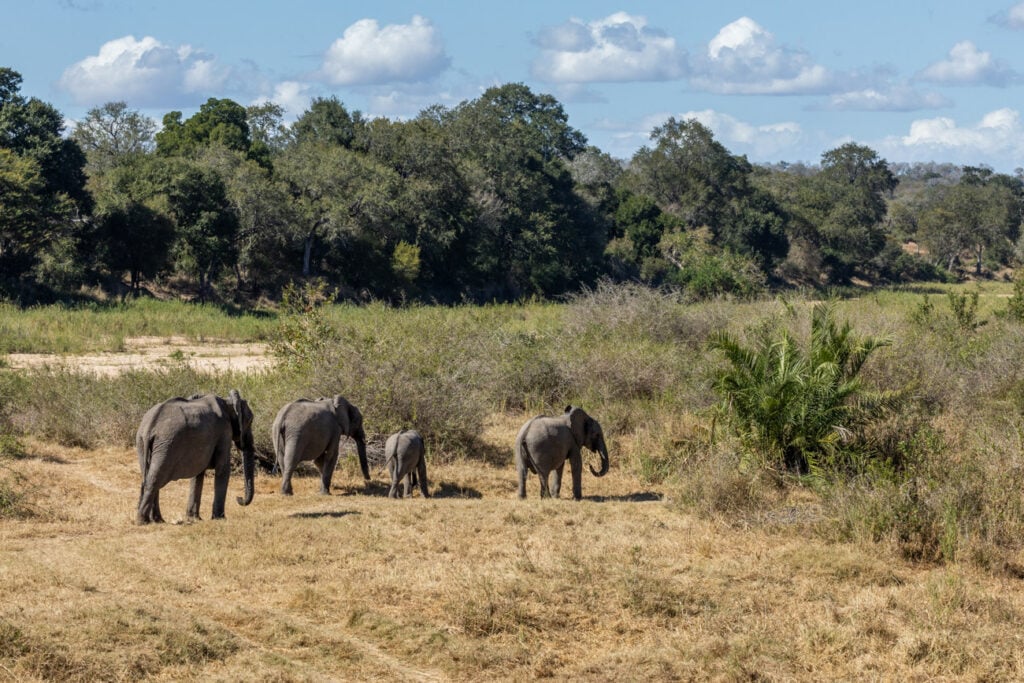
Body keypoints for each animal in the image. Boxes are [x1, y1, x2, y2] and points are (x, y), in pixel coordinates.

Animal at [135, 389, 254, 524]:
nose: (239, 498)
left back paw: (157, 520)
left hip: (142, 442)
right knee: (155, 479)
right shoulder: (224, 431)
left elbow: (198, 473)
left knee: (149, 477)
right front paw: (220, 519)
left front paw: (195, 518)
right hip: (165, 444)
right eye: (250, 420)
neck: (227, 402)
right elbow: (223, 468)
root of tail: (150, 426)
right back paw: (143, 521)